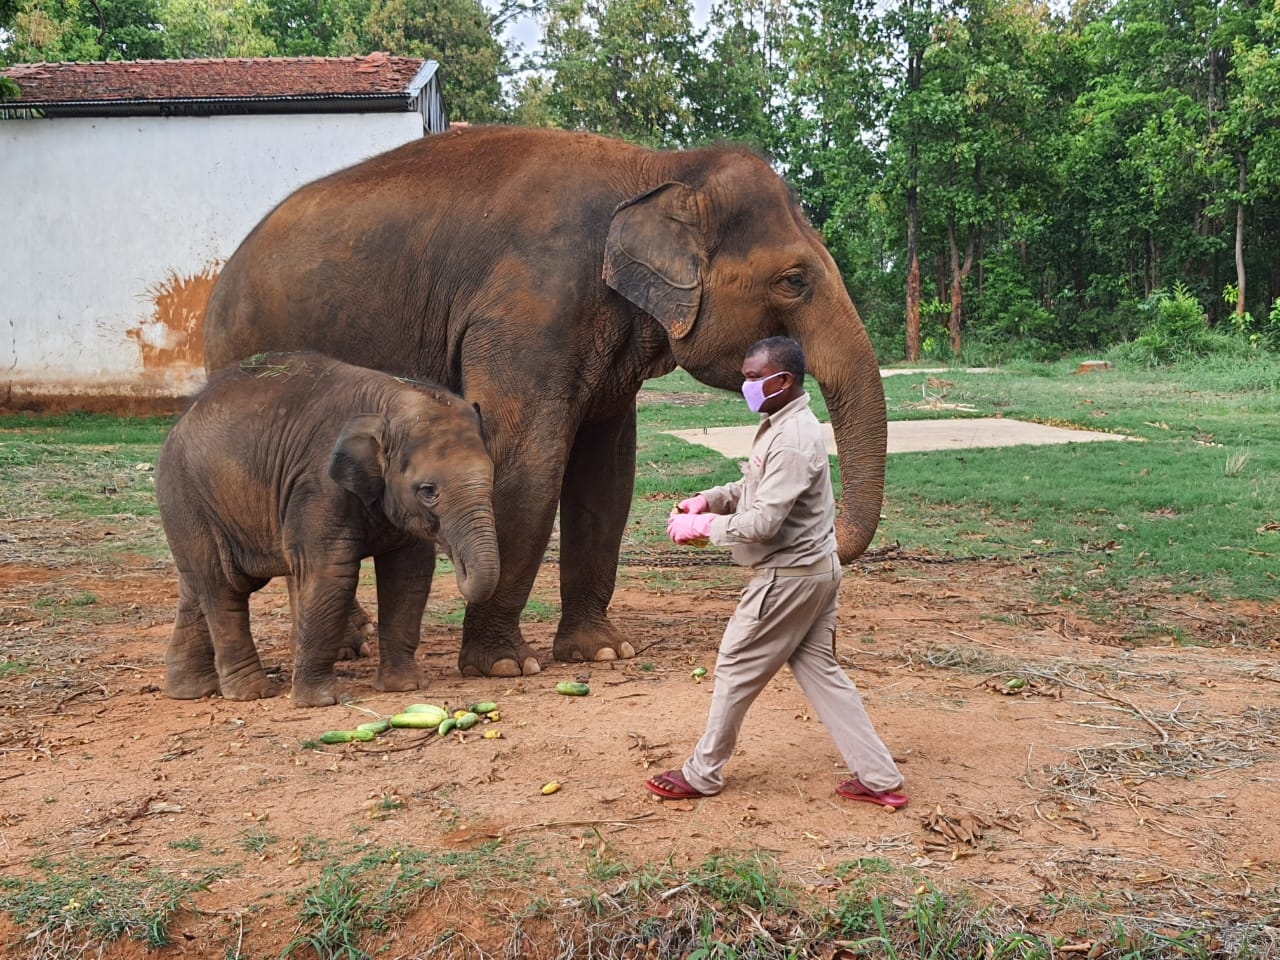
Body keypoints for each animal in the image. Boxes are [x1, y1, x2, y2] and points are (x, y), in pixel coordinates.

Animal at [154, 353, 499, 706]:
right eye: (428, 491)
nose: (457, 559)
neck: (390, 400)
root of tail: (182, 419)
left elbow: (408, 574)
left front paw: (405, 687)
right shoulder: (318, 485)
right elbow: (330, 573)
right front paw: (321, 701)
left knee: (195, 582)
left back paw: (190, 691)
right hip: (186, 497)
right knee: (222, 585)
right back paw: (251, 693)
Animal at [204, 128, 885, 680]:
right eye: (794, 280)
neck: (659, 167)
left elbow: (606, 475)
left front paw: (602, 652)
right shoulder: (529, 311)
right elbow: (525, 462)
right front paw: (504, 665)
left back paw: (350, 645)